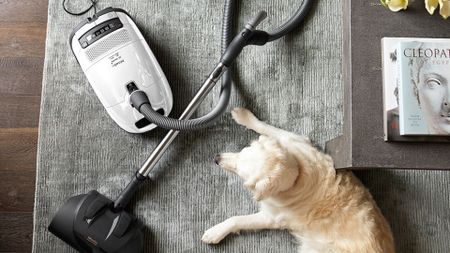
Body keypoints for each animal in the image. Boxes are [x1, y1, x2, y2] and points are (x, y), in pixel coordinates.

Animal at [200, 108, 394, 253]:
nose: (216, 158)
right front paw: (243, 115)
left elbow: (237, 219)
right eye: (242, 150)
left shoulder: (271, 217)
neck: (298, 174)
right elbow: (268, 128)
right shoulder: (295, 140)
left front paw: (215, 232)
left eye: (241, 174)